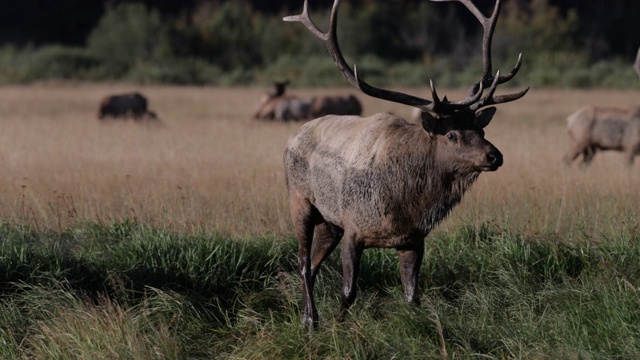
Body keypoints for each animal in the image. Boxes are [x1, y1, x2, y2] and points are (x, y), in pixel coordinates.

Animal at [282, 0, 528, 334]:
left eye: (481, 130)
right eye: (451, 134)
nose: (495, 156)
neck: (405, 203)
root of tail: (293, 136)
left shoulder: (413, 240)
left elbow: (412, 297)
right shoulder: (354, 228)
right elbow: (349, 291)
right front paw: (337, 326)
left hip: (330, 221)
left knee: (314, 262)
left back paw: (307, 316)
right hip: (300, 201)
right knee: (303, 261)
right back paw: (311, 321)